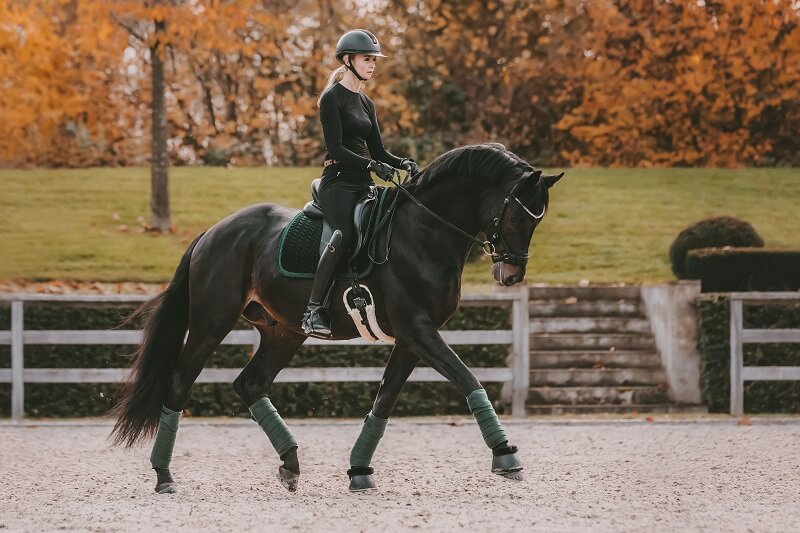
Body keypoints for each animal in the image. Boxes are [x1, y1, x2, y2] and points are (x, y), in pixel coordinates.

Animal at [109, 141, 564, 490]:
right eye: (517, 214)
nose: (511, 274)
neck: (424, 231)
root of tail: (213, 231)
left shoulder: (411, 339)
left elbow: (384, 400)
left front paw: (359, 470)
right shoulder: (419, 332)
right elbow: (469, 379)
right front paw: (505, 455)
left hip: (283, 332)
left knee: (250, 384)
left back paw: (290, 464)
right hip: (210, 325)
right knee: (179, 384)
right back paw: (164, 475)